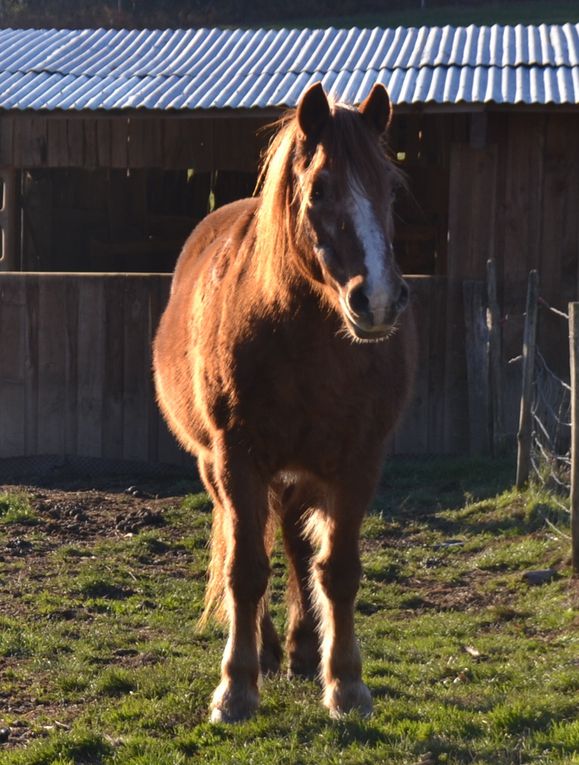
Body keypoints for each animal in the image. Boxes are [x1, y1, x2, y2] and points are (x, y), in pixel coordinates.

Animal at [153, 83, 416, 724]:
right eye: (318, 189)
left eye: (391, 189)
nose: (378, 301)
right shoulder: (238, 459)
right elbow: (245, 570)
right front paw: (236, 686)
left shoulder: (358, 462)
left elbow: (337, 570)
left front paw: (346, 683)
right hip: (217, 467)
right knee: (252, 545)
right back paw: (272, 650)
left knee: (297, 545)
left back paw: (301, 649)